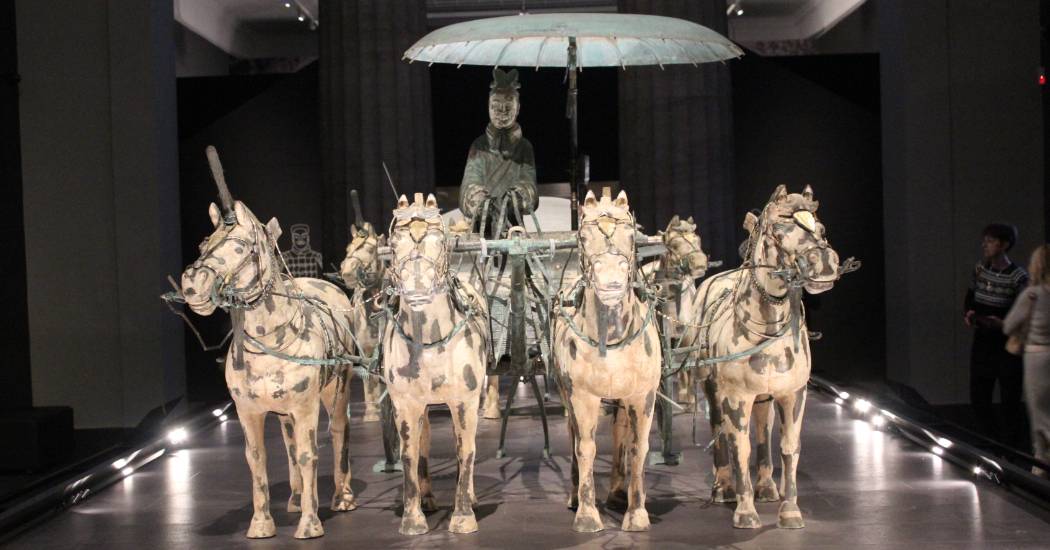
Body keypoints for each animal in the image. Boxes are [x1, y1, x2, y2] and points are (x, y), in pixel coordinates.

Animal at [179, 149, 357, 539]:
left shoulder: (305, 406)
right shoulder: (249, 411)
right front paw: (262, 523)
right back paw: (297, 498)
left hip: (336, 389)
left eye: (242, 247)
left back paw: (341, 496)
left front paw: (310, 523)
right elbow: (257, 458)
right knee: (290, 443)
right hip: (284, 412)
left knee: (337, 431)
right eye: (203, 244)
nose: (192, 285)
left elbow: (309, 454)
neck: (270, 344)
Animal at [382, 193, 491, 535]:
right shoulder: (405, 404)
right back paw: (428, 498)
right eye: (396, 242)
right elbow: (410, 453)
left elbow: (465, 449)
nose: (417, 286)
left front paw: (463, 515)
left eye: (437, 240)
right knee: (425, 440)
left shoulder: (465, 401)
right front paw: (412, 518)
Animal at [552, 189, 662, 533]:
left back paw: (616, 493)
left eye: (631, 235)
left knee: (620, 432)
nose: (610, 281)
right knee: (574, 434)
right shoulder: (582, 396)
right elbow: (585, 446)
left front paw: (636, 513)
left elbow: (638, 447)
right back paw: (575, 496)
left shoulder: (643, 396)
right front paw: (587, 515)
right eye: (583, 237)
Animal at [685, 184, 843, 529]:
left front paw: (790, 510)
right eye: (779, 228)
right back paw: (724, 487)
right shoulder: (736, 397)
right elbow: (739, 447)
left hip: (764, 397)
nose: (824, 263)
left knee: (762, 430)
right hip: (714, 391)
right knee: (720, 431)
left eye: (821, 227)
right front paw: (745, 512)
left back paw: (767, 486)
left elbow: (788, 447)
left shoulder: (793, 395)